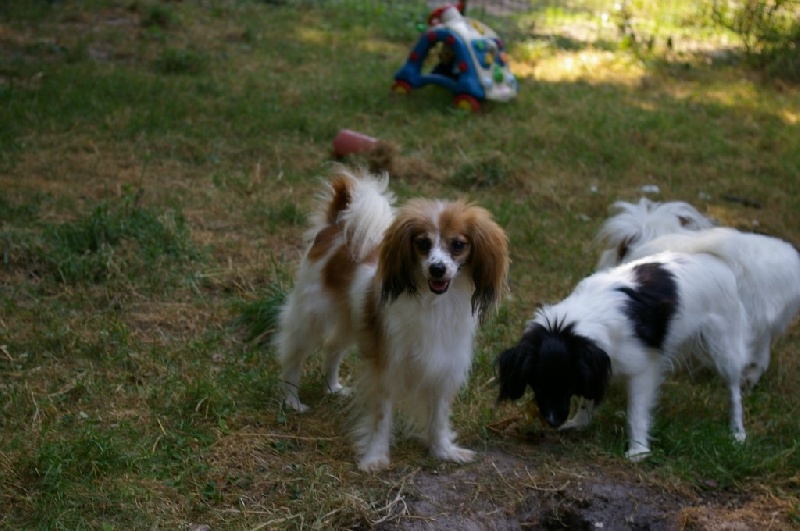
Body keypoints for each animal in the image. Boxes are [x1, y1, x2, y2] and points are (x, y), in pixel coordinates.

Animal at [276, 167, 510, 474]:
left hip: (352, 320)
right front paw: (375, 457)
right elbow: (381, 416)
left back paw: (332, 388)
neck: (434, 302)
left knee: (333, 347)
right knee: (293, 354)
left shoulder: (443, 366)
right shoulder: (387, 366)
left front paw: (442, 451)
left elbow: (438, 417)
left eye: (458, 245)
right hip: (312, 315)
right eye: (423, 243)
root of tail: (336, 226)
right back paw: (292, 400)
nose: (437, 268)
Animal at [494, 251, 752, 460]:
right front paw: (579, 423)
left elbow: (635, 413)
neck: (575, 323)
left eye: (568, 387)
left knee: (734, 391)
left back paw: (737, 432)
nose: (553, 421)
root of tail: (717, 263)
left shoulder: (642, 369)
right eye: (537, 385)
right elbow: (590, 395)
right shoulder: (597, 363)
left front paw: (638, 451)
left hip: (724, 350)